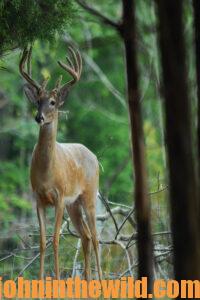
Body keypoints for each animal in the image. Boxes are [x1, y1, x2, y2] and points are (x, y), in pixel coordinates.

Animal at [19, 45, 102, 282]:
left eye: (53, 102)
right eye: (38, 101)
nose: (39, 117)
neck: (48, 172)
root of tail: (94, 155)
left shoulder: (60, 196)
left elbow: (55, 240)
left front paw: (55, 279)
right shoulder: (38, 197)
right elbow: (42, 241)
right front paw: (40, 281)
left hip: (89, 195)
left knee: (95, 237)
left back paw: (101, 281)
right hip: (74, 204)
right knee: (85, 236)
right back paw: (87, 280)